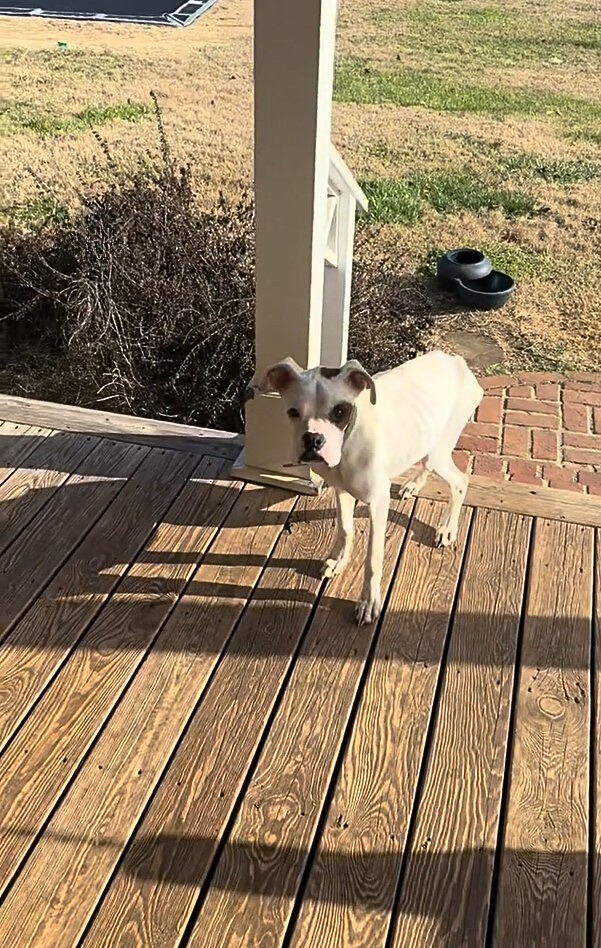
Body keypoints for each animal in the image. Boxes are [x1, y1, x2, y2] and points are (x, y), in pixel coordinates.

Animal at [248, 352, 482, 624]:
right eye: (293, 412)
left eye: (340, 411)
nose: (313, 439)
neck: (348, 441)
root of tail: (456, 360)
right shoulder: (341, 490)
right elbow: (345, 528)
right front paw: (338, 561)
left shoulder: (378, 503)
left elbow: (373, 558)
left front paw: (368, 602)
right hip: (428, 442)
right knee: (427, 463)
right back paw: (413, 485)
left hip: (440, 449)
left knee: (459, 482)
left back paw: (447, 529)